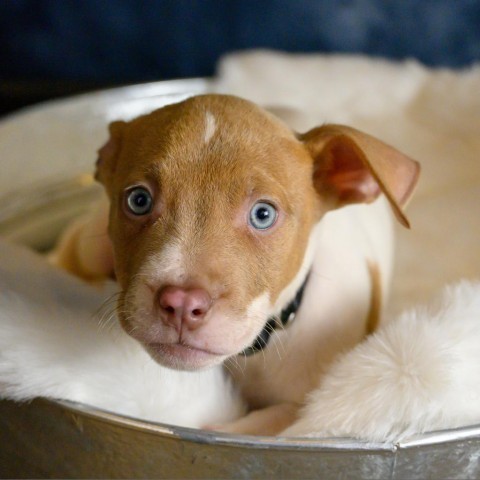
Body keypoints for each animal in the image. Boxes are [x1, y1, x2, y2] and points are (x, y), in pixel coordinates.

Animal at [53, 94, 420, 436]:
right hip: (89, 242)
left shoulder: (311, 411)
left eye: (263, 214)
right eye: (138, 200)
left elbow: (269, 420)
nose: (181, 304)